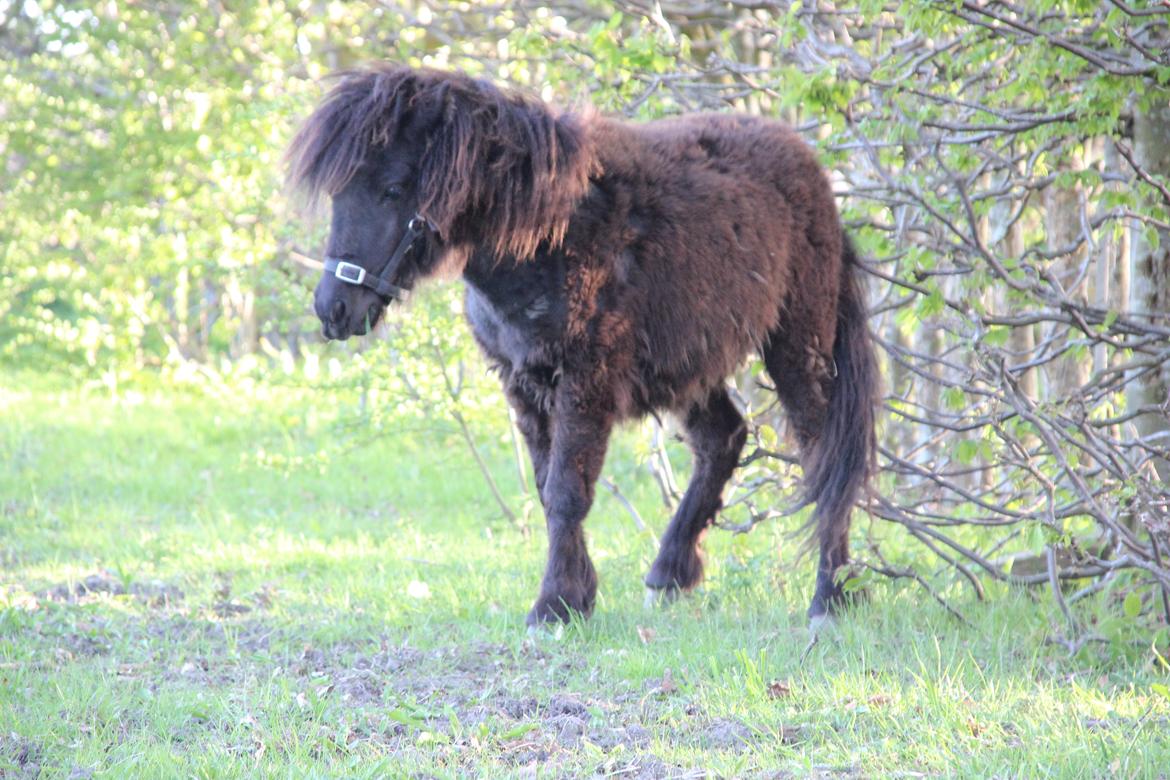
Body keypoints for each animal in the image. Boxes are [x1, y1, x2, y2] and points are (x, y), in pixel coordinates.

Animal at [285, 65, 879, 626]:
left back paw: (830, 596)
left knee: (825, 457)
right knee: (724, 438)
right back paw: (670, 573)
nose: (333, 309)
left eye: (391, 188)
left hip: (796, 345)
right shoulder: (523, 384)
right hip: (688, 364)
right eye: (338, 193)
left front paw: (555, 604)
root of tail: (814, 173)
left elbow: (568, 492)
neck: (548, 236)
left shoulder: (584, 380)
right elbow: (548, 489)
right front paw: (577, 595)